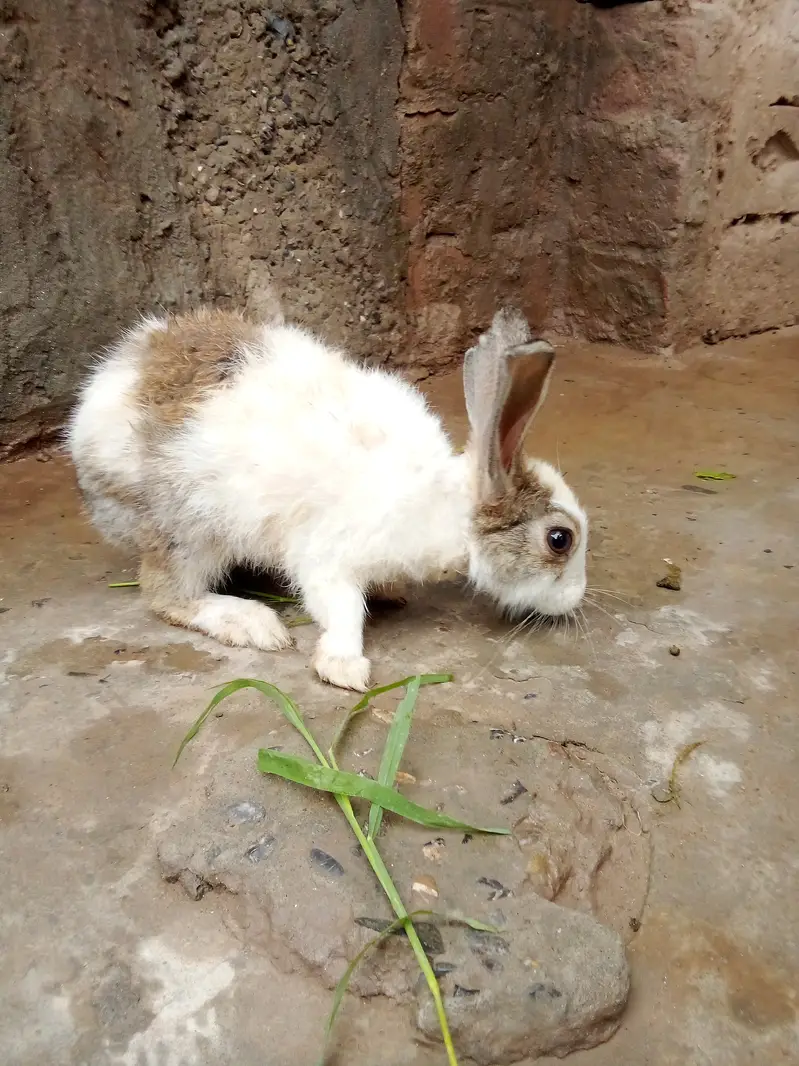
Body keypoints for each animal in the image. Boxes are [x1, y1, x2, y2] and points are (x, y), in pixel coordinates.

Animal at [67, 304, 588, 691]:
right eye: (559, 539)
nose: (576, 599)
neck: (442, 508)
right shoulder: (328, 558)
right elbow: (342, 611)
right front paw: (344, 668)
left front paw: (390, 593)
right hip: (188, 529)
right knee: (167, 596)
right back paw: (252, 623)